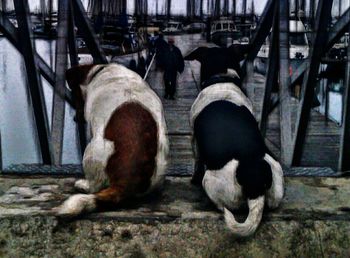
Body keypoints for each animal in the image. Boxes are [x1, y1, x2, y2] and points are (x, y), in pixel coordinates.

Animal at [55, 63, 168, 217]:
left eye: (74, 95)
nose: (75, 118)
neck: (100, 71)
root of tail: (125, 183)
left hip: (92, 150)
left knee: (95, 186)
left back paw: (83, 184)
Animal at [185, 45, 284, 237]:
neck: (222, 81)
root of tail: (255, 183)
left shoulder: (194, 138)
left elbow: (197, 162)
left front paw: (193, 179)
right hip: (277, 185)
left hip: (211, 182)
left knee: (221, 204)